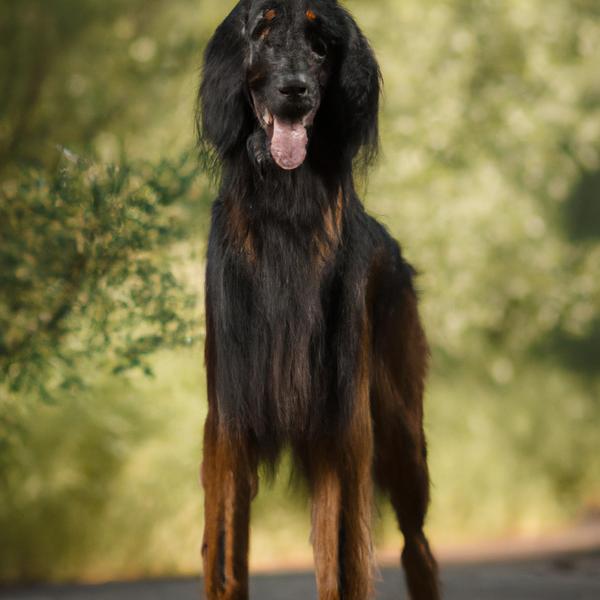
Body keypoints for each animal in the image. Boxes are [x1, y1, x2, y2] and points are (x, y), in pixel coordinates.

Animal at [199, 1, 438, 600]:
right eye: (262, 30)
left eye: (321, 44)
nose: (295, 90)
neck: (286, 212)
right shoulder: (228, 425)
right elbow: (225, 559)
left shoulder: (342, 428)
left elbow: (346, 562)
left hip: (402, 434)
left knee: (418, 545)